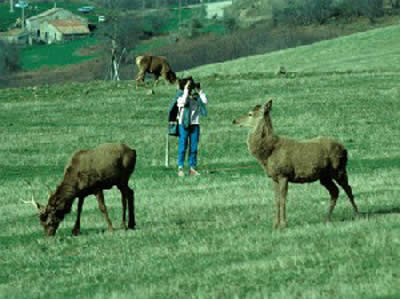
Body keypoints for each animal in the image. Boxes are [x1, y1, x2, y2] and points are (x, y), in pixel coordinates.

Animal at [231, 99, 360, 229]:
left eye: (250, 114)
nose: (235, 121)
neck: (267, 154)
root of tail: (345, 149)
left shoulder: (284, 174)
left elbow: (283, 199)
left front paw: (283, 224)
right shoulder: (274, 177)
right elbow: (276, 200)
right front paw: (275, 224)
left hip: (339, 168)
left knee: (348, 188)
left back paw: (357, 214)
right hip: (325, 176)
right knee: (335, 191)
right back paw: (327, 218)